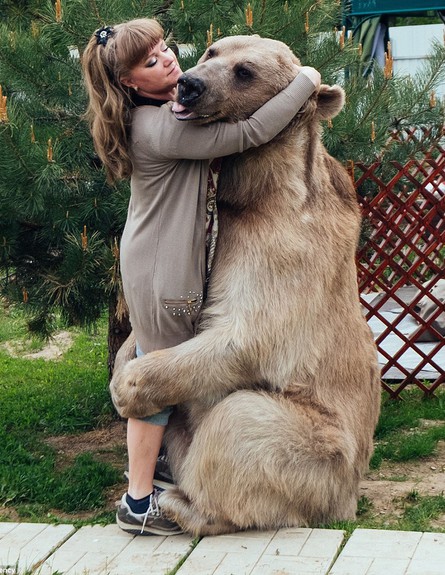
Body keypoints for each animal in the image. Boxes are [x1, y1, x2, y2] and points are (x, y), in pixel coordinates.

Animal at [109, 35, 380, 536]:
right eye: (212, 51)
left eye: (245, 71)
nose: (189, 84)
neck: (256, 192)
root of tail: (346, 502)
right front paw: (123, 362)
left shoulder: (286, 249)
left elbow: (246, 335)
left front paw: (128, 387)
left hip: (323, 453)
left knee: (239, 421)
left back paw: (179, 503)